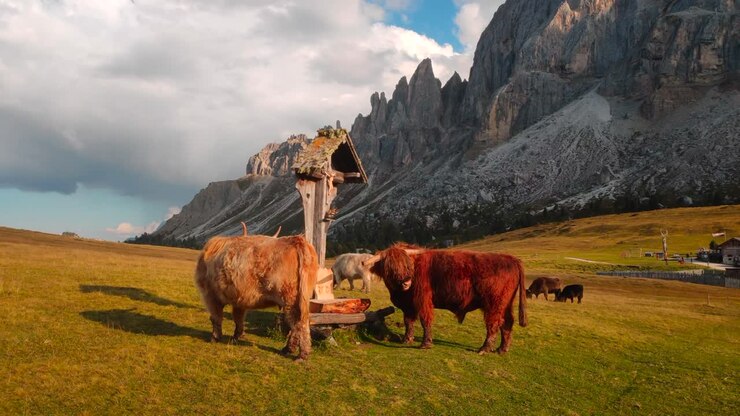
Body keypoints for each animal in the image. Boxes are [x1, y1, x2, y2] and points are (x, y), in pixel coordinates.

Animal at [364, 244, 527, 355]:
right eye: (389, 267)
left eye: (407, 265)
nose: (406, 282)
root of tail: (511, 259)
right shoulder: (409, 306)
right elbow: (408, 322)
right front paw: (407, 339)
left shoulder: (423, 301)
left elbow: (425, 320)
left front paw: (426, 343)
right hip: (506, 304)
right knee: (507, 323)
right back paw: (502, 349)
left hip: (494, 304)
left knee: (493, 324)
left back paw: (485, 348)